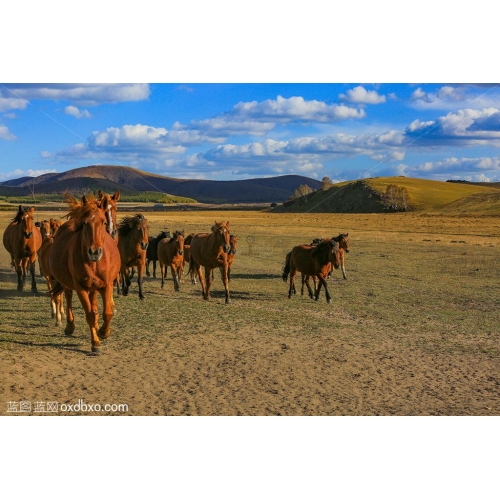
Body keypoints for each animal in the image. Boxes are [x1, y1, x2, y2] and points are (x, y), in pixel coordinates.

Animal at [48, 193, 120, 354]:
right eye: (85, 223)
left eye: (103, 222)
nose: (94, 252)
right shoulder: (80, 287)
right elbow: (90, 315)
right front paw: (96, 343)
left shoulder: (107, 285)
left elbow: (107, 313)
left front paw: (103, 332)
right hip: (68, 283)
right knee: (68, 297)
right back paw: (70, 326)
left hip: (93, 287)